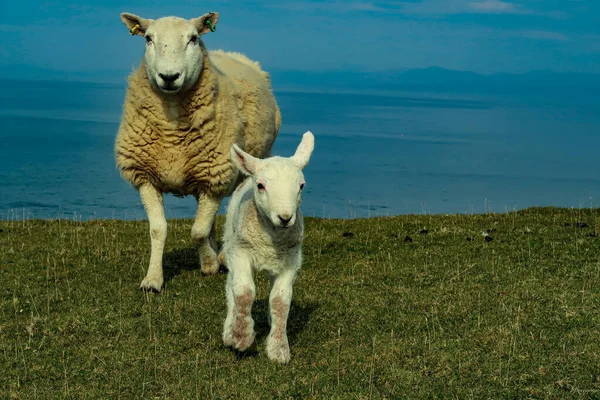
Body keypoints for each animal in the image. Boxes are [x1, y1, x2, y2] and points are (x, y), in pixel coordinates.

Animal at [116, 10, 282, 290]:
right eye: (148, 38)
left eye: (193, 38)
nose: (169, 77)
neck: (171, 128)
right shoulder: (145, 176)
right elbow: (158, 229)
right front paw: (153, 279)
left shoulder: (216, 175)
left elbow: (197, 231)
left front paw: (209, 265)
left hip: (249, 165)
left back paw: (223, 256)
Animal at [220, 130, 314, 362]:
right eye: (261, 186)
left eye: (301, 186)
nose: (285, 217)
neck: (269, 241)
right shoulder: (241, 252)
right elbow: (244, 292)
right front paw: (241, 338)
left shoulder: (291, 261)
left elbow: (280, 300)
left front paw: (278, 348)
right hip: (231, 244)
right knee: (232, 285)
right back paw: (230, 328)